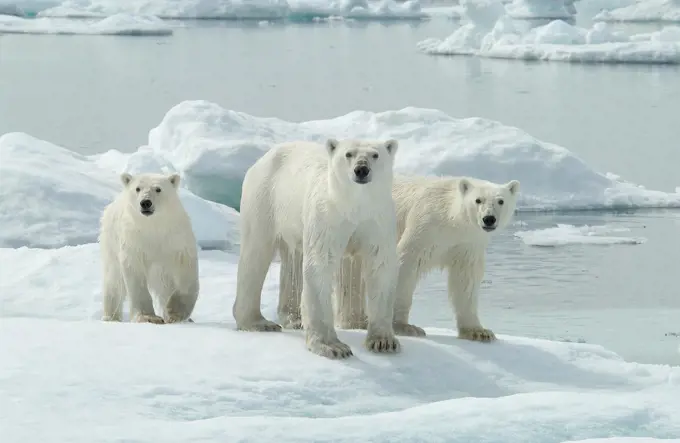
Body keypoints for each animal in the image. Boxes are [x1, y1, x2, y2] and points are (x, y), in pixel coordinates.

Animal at [98, 173, 199, 326]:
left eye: (158, 189)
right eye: (137, 188)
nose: (145, 202)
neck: (153, 226)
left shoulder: (176, 239)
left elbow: (185, 270)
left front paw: (173, 312)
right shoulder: (134, 242)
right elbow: (135, 274)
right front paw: (149, 317)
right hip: (111, 242)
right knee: (114, 281)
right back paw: (111, 317)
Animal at [234, 139, 404, 360]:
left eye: (375, 155)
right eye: (348, 154)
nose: (361, 169)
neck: (354, 205)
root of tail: (264, 158)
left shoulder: (377, 219)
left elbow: (380, 265)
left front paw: (383, 342)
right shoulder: (327, 216)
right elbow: (321, 263)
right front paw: (332, 347)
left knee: (293, 261)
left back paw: (295, 318)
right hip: (266, 199)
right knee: (256, 253)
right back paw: (258, 322)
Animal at [332, 175, 516, 342]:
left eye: (501, 201)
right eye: (478, 200)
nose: (489, 219)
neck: (450, 220)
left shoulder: (466, 244)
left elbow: (465, 280)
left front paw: (478, 332)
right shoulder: (425, 228)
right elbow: (405, 265)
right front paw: (403, 326)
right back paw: (355, 320)